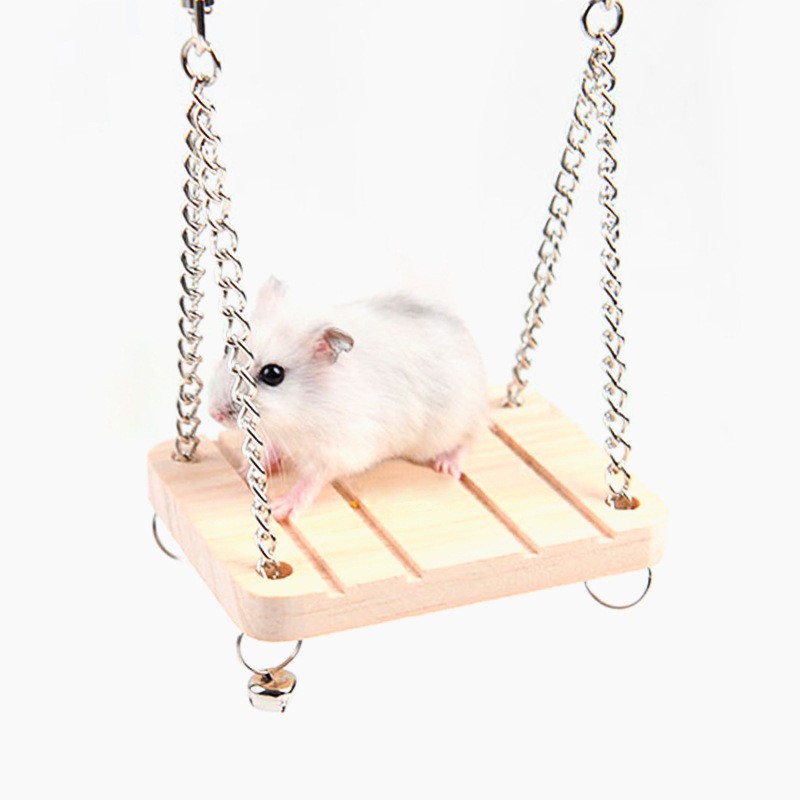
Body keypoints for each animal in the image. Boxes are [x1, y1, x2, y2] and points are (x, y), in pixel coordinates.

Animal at [209, 277, 488, 521]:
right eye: (227, 349)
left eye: (273, 374)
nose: (214, 414)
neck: (301, 412)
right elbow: (273, 448)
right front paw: (245, 470)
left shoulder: (339, 451)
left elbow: (312, 480)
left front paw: (282, 510)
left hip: (451, 424)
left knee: (468, 438)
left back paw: (447, 466)